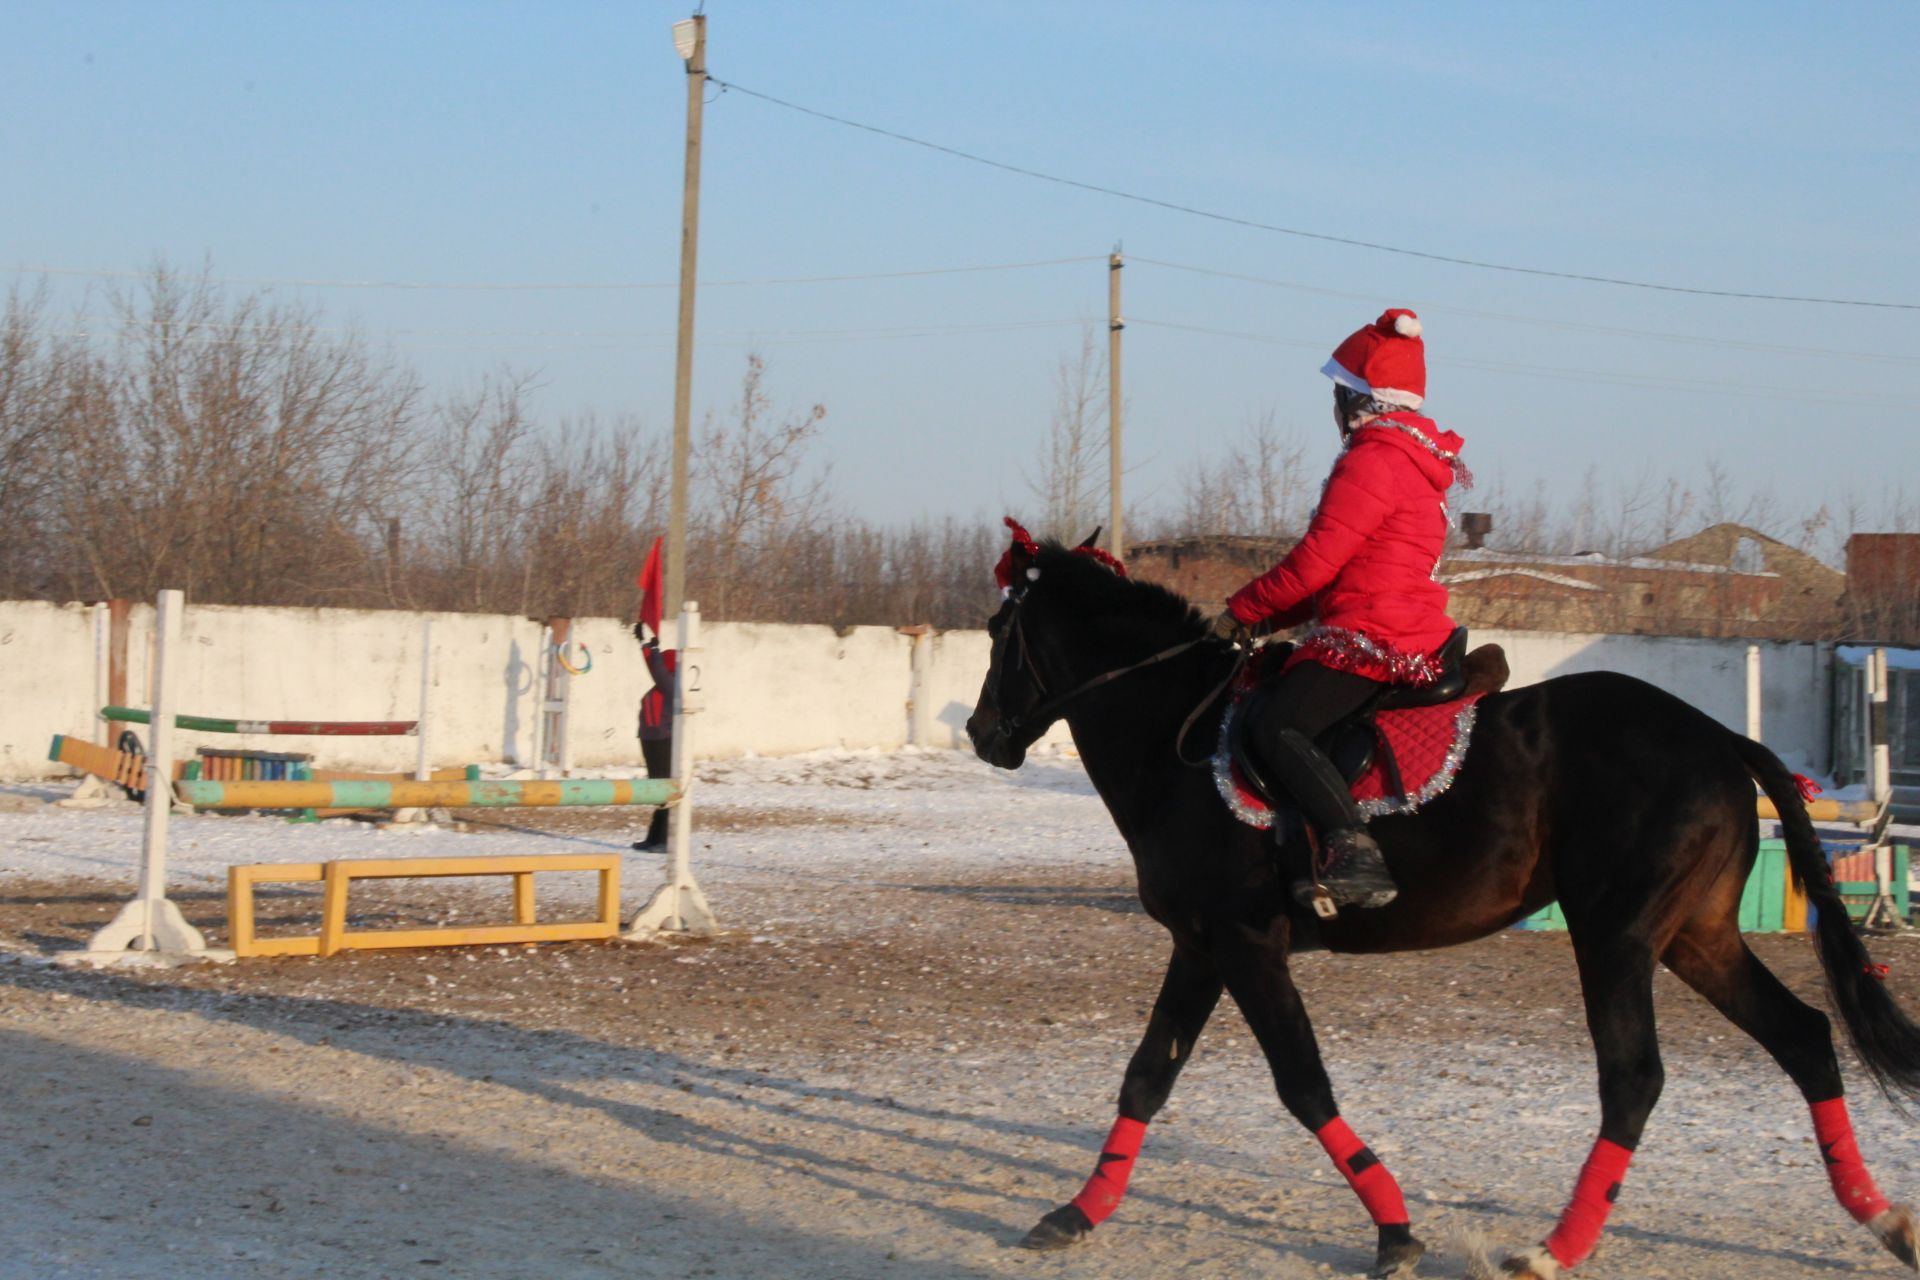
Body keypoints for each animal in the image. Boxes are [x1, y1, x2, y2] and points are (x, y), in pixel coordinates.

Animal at [975, 537, 1920, 1274]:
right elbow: (1146, 1076)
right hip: (1696, 936)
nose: (984, 736)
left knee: (1635, 1079)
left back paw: (1552, 1251)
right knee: (1804, 1038)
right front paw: (1075, 1214)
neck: (1180, 739)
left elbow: (1303, 1084)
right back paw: (1883, 1218)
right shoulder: (1202, 946)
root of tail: (1721, 736)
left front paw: (1396, 1233)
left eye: (996, 633)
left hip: (1616, 936)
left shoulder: (1245, 944)